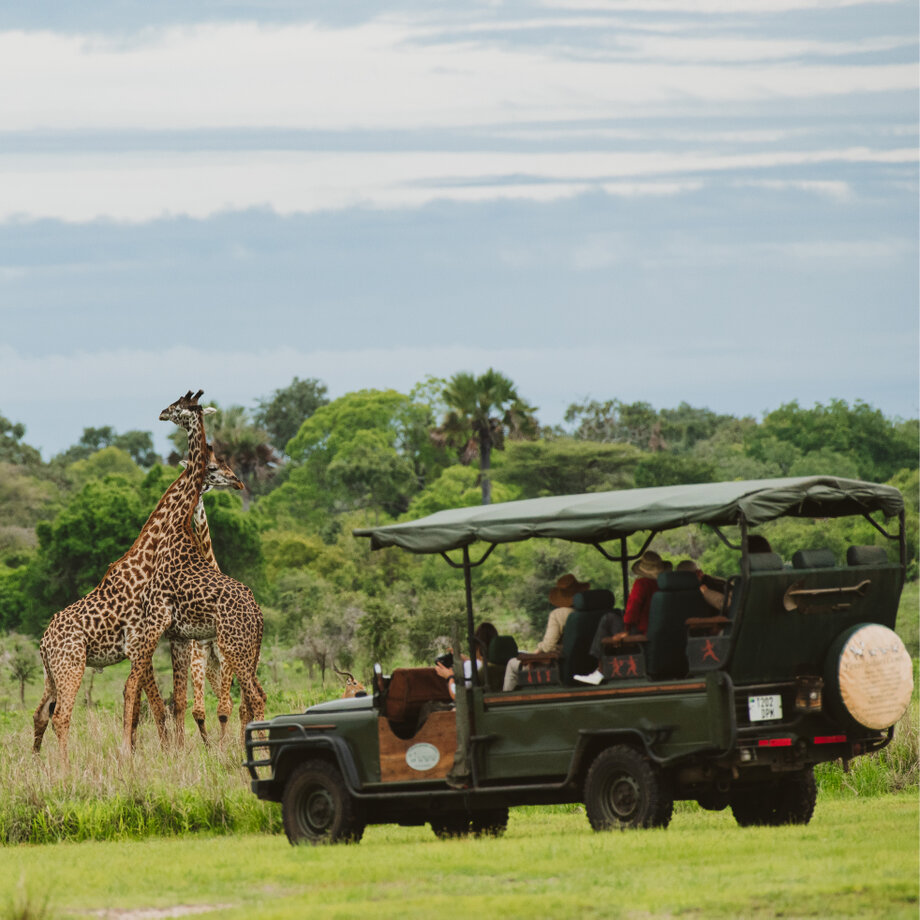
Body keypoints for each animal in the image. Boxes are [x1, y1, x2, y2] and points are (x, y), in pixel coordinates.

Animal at [33, 390, 213, 762]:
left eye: (179, 406)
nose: (161, 413)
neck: (151, 549)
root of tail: (43, 643)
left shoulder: (145, 643)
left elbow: (147, 699)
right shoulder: (141, 641)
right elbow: (142, 698)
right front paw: (133, 752)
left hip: (52, 673)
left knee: (41, 714)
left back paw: (39, 763)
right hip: (71, 667)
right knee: (61, 715)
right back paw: (64, 766)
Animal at [149, 396, 266, 743]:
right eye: (212, 467)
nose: (238, 481)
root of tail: (259, 616)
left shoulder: (211, 651)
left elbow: (220, 707)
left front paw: (218, 747)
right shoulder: (196, 650)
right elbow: (195, 708)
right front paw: (207, 745)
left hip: (236, 653)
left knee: (249, 700)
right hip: (233, 656)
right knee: (246, 699)